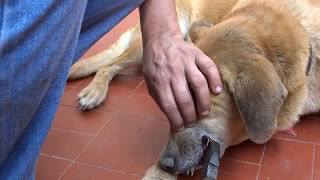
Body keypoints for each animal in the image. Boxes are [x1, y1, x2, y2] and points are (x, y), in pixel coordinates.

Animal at [68, 0, 320, 179]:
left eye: (191, 106)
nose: (165, 164)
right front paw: (158, 173)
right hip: (160, 42)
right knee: (109, 65)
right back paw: (95, 91)